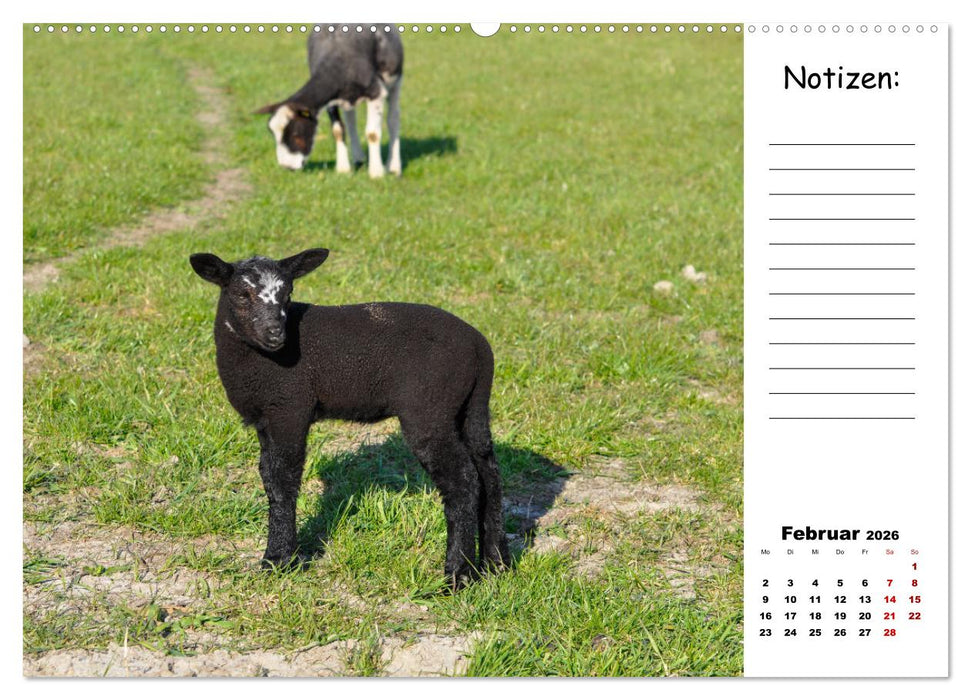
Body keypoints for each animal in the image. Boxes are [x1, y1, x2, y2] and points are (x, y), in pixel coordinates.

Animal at [189, 248, 511, 590]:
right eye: (241, 294)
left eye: (288, 294)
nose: (275, 335)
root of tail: (480, 348)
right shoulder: (265, 419)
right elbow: (268, 475)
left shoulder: (289, 408)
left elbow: (282, 479)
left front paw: (278, 560)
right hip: (470, 407)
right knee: (488, 472)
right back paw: (496, 562)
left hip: (429, 409)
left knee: (463, 481)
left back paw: (457, 574)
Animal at [255, 28, 403, 176]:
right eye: (273, 134)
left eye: (296, 134)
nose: (287, 166)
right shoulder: (330, 100)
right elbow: (337, 130)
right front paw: (343, 169)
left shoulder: (375, 93)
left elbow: (372, 134)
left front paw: (376, 172)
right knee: (351, 121)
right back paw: (359, 159)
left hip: (395, 82)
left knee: (393, 120)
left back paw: (394, 167)